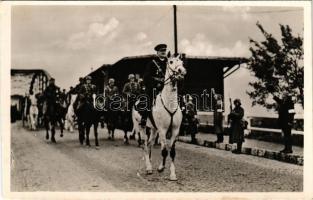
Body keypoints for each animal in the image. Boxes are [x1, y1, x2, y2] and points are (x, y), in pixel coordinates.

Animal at [131, 52, 185, 180]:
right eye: (171, 62)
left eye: (182, 62)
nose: (182, 71)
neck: (170, 103)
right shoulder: (162, 130)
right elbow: (164, 150)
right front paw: (161, 168)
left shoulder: (175, 130)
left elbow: (172, 152)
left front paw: (172, 174)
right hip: (141, 127)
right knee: (145, 145)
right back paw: (148, 168)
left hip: (153, 129)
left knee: (150, 144)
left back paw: (150, 163)